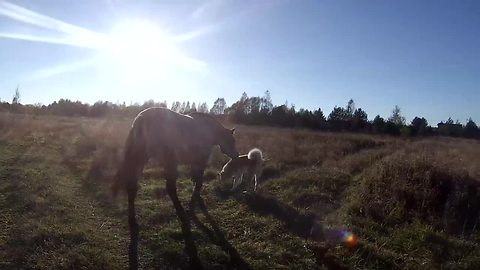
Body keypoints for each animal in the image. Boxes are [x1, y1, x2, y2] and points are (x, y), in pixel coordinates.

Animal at [113, 106, 240, 268]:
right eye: (231, 140)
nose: (236, 155)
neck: (208, 130)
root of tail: (141, 119)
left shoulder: (194, 163)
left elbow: (196, 181)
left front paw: (197, 200)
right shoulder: (200, 161)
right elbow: (198, 182)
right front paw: (192, 205)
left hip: (140, 158)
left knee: (132, 187)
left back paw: (133, 220)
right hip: (168, 161)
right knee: (170, 188)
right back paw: (182, 213)